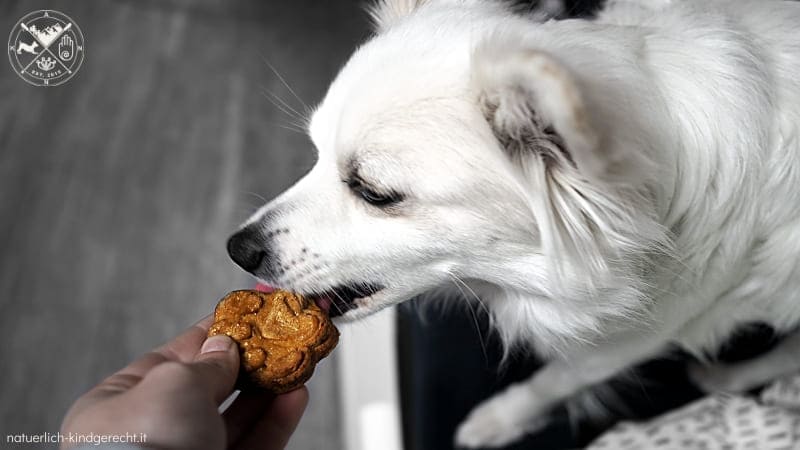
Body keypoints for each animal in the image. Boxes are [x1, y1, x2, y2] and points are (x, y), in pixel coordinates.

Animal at [227, 0, 800, 446]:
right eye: (315, 156)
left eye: (374, 193)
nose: (237, 248)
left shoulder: (641, 334)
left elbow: (557, 379)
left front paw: (496, 420)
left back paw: (728, 374)